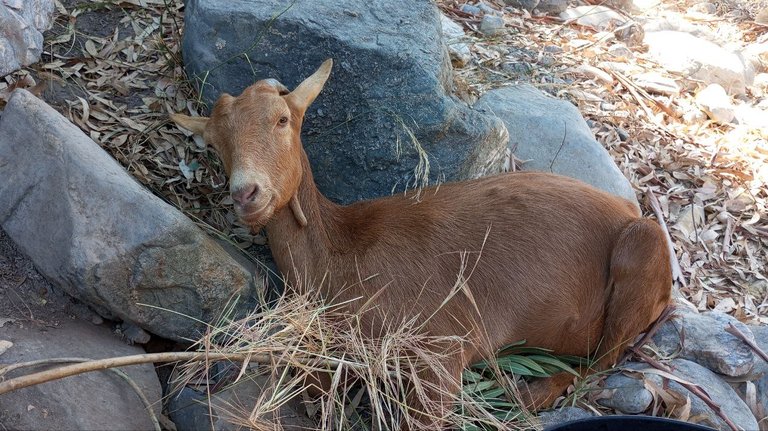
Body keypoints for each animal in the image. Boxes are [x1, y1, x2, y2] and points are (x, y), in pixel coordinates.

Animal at [172, 60, 672, 428]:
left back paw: (532, 391)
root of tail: (629, 212)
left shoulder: (442, 345)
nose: (246, 194)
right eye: (216, 142)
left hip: (642, 250)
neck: (342, 253)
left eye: (282, 120)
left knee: (605, 358)